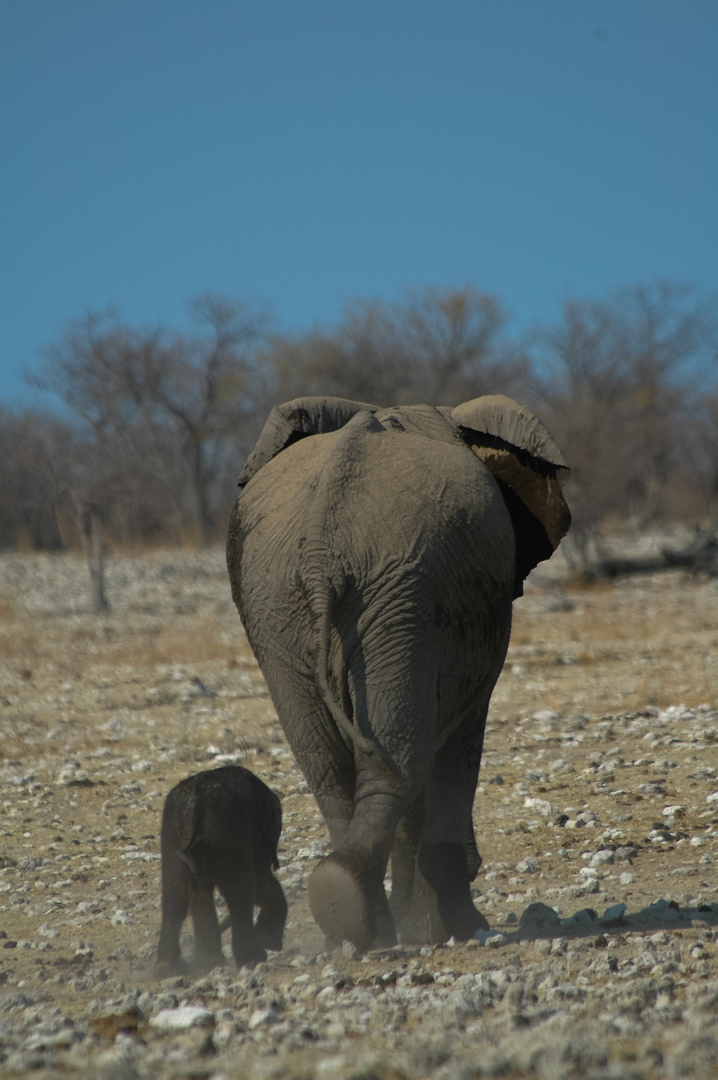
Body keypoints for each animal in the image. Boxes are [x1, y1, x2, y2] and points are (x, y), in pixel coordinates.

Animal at [154, 760, 285, 980]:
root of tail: (194, 810)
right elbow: (259, 884)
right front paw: (268, 942)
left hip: (173, 835)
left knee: (177, 895)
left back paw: (175, 968)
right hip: (225, 834)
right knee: (240, 891)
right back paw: (252, 959)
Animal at [226, 395, 570, 946]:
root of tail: (320, 548)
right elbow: (458, 742)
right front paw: (457, 929)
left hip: (283, 604)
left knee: (332, 766)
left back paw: (353, 921)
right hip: (396, 593)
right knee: (399, 758)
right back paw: (368, 915)